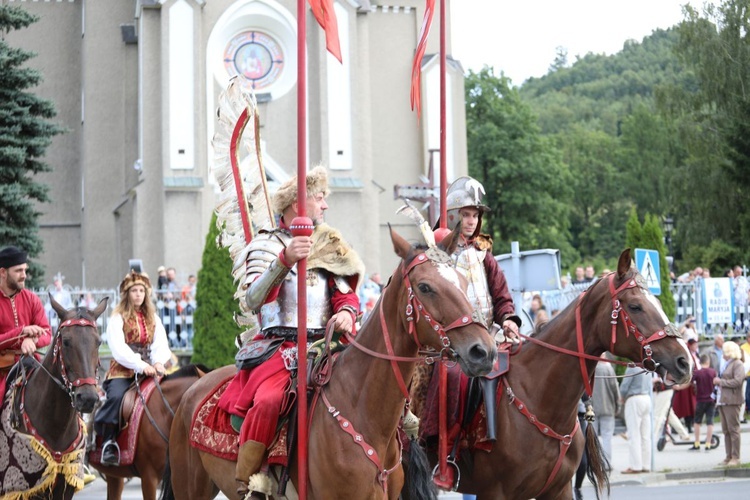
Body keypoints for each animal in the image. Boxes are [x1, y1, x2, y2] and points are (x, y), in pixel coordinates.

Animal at [160, 228, 500, 500]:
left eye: (462, 281)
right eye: (426, 287)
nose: (483, 351)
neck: (363, 409)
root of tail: (195, 386)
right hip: (191, 486)